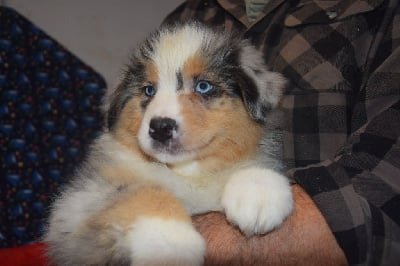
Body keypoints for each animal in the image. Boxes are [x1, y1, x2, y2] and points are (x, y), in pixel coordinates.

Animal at [44, 23, 294, 266]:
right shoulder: (76, 204)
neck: (188, 173)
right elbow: (145, 190)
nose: (160, 128)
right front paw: (170, 242)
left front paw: (259, 193)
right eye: (149, 90)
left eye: (203, 86)